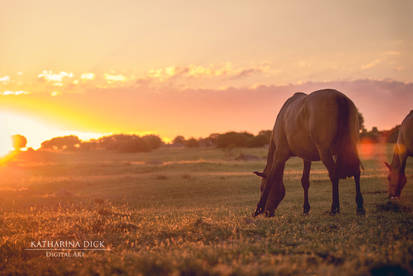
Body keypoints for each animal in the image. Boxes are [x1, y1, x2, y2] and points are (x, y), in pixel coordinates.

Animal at [251, 89, 364, 217]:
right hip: (351, 148)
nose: (268, 213)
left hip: (325, 152)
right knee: (356, 173)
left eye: (261, 188)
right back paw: (360, 207)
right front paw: (305, 209)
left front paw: (258, 209)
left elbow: (270, 178)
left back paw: (334, 208)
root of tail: (339, 97)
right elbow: (305, 181)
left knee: (334, 175)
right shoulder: (307, 157)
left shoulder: (280, 156)